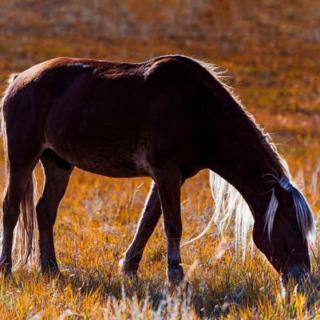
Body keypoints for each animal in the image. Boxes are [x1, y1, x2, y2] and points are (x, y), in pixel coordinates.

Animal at [0, 53, 316, 284]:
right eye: (292, 226)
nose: (303, 277)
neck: (198, 110)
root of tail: (19, 80)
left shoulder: (170, 176)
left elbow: (148, 221)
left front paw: (129, 267)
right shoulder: (167, 172)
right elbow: (172, 223)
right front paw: (176, 276)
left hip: (58, 163)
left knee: (45, 210)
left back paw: (51, 269)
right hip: (22, 158)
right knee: (11, 207)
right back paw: (7, 269)